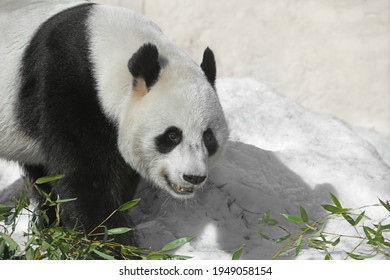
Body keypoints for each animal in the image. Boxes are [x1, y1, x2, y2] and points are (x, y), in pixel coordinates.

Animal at [0, 0, 229, 244]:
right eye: (172, 135)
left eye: (208, 137)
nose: (193, 177)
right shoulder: (67, 87)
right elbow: (85, 179)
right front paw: (110, 242)